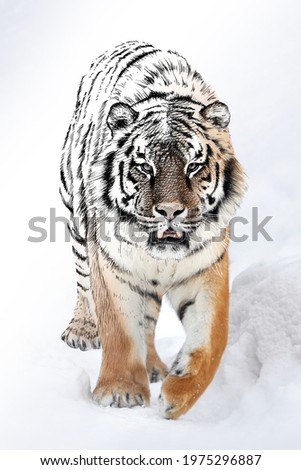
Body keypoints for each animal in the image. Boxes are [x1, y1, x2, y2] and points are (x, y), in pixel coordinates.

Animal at [59, 41, 245, 418]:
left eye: (194, 166)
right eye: (145, 167)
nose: (170, 211)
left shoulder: (206, 268)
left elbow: (211, 340)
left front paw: (177, 394)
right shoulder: (113, 265)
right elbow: (120, 329)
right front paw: (120, 393)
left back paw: (155, 367)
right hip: (77, 226)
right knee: (83, 286)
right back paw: (82, 331)